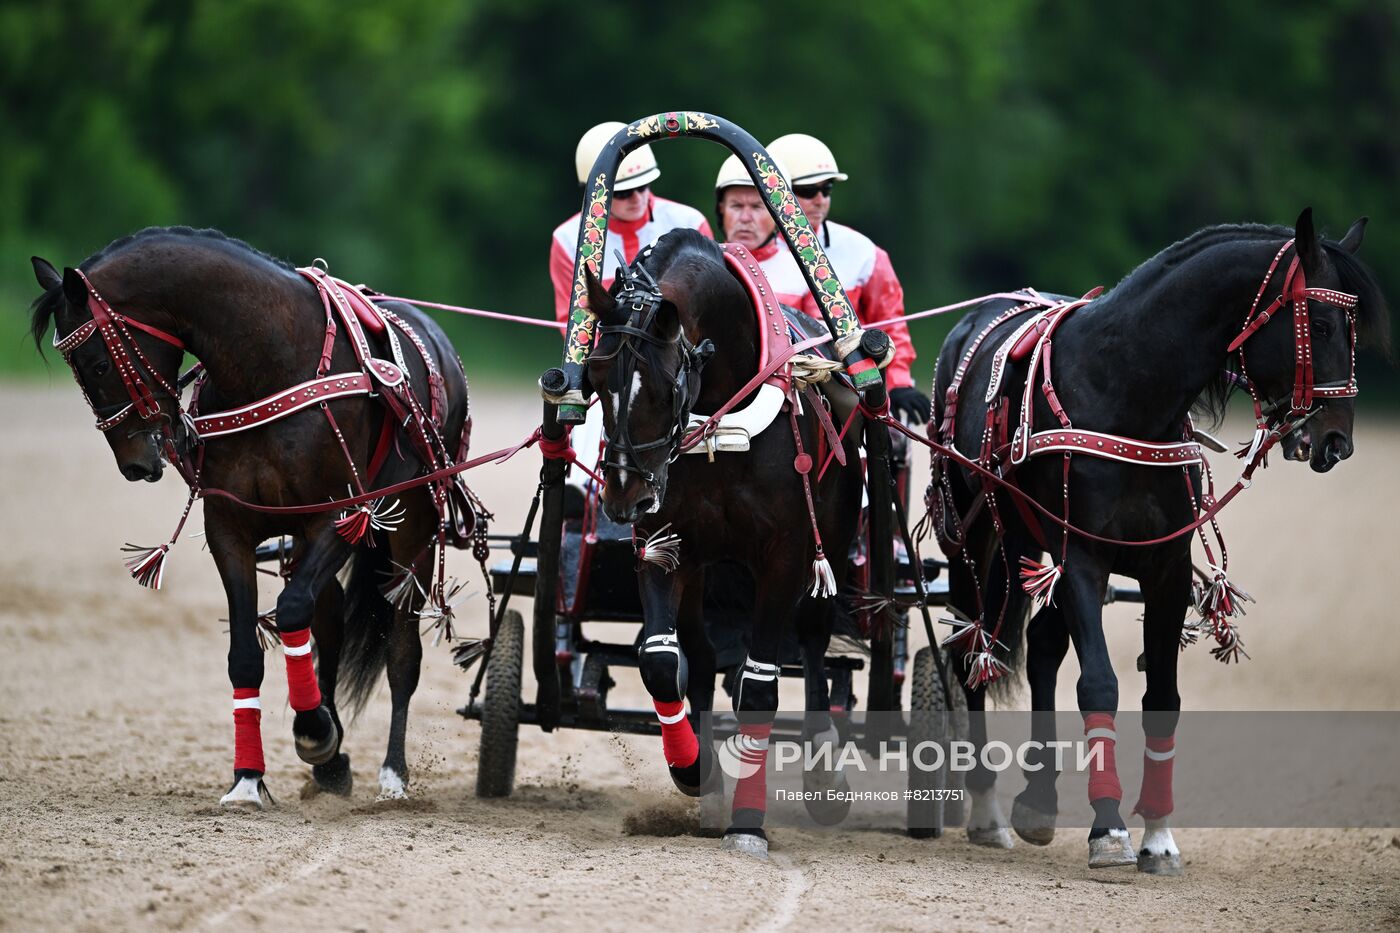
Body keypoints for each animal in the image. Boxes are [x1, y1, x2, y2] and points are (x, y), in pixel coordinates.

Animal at [25, 226, 476, 806]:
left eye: (99, 364)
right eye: (79, 372)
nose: (135, 462)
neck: (270, 365)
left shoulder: (339, 516)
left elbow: (291, 611)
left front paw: (314, 731)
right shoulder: (230, 527)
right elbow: (247, 649)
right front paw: (249, 777)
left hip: (414, 530)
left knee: (400, 650)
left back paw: (392, 773)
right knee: (326, 624)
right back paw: (334, 763)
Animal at [576, 228, 862, 851]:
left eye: (663, 387)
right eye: (596, 379)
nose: (624, 499)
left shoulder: (786, 557)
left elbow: (759, 685)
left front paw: (748, 821)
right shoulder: (665, 541)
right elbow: (662, 662)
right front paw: (691, 769)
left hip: (830, 543)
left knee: (813, 646)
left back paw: (822, 770)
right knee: (702, 657)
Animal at [929, 210, 1388, 874]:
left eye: (1352, 329)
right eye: (1322, 323)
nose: (1336, 441)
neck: (1125, 391)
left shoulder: (1165, 568)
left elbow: (1162, 696)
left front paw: (1158, 837)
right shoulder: (1084, 560)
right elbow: (1099, 682)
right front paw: (1109, 828)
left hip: (1032, 545)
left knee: (1041, 647)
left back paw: (1038, 800)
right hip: (978, 537)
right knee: (974, 651)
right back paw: (988, 810)